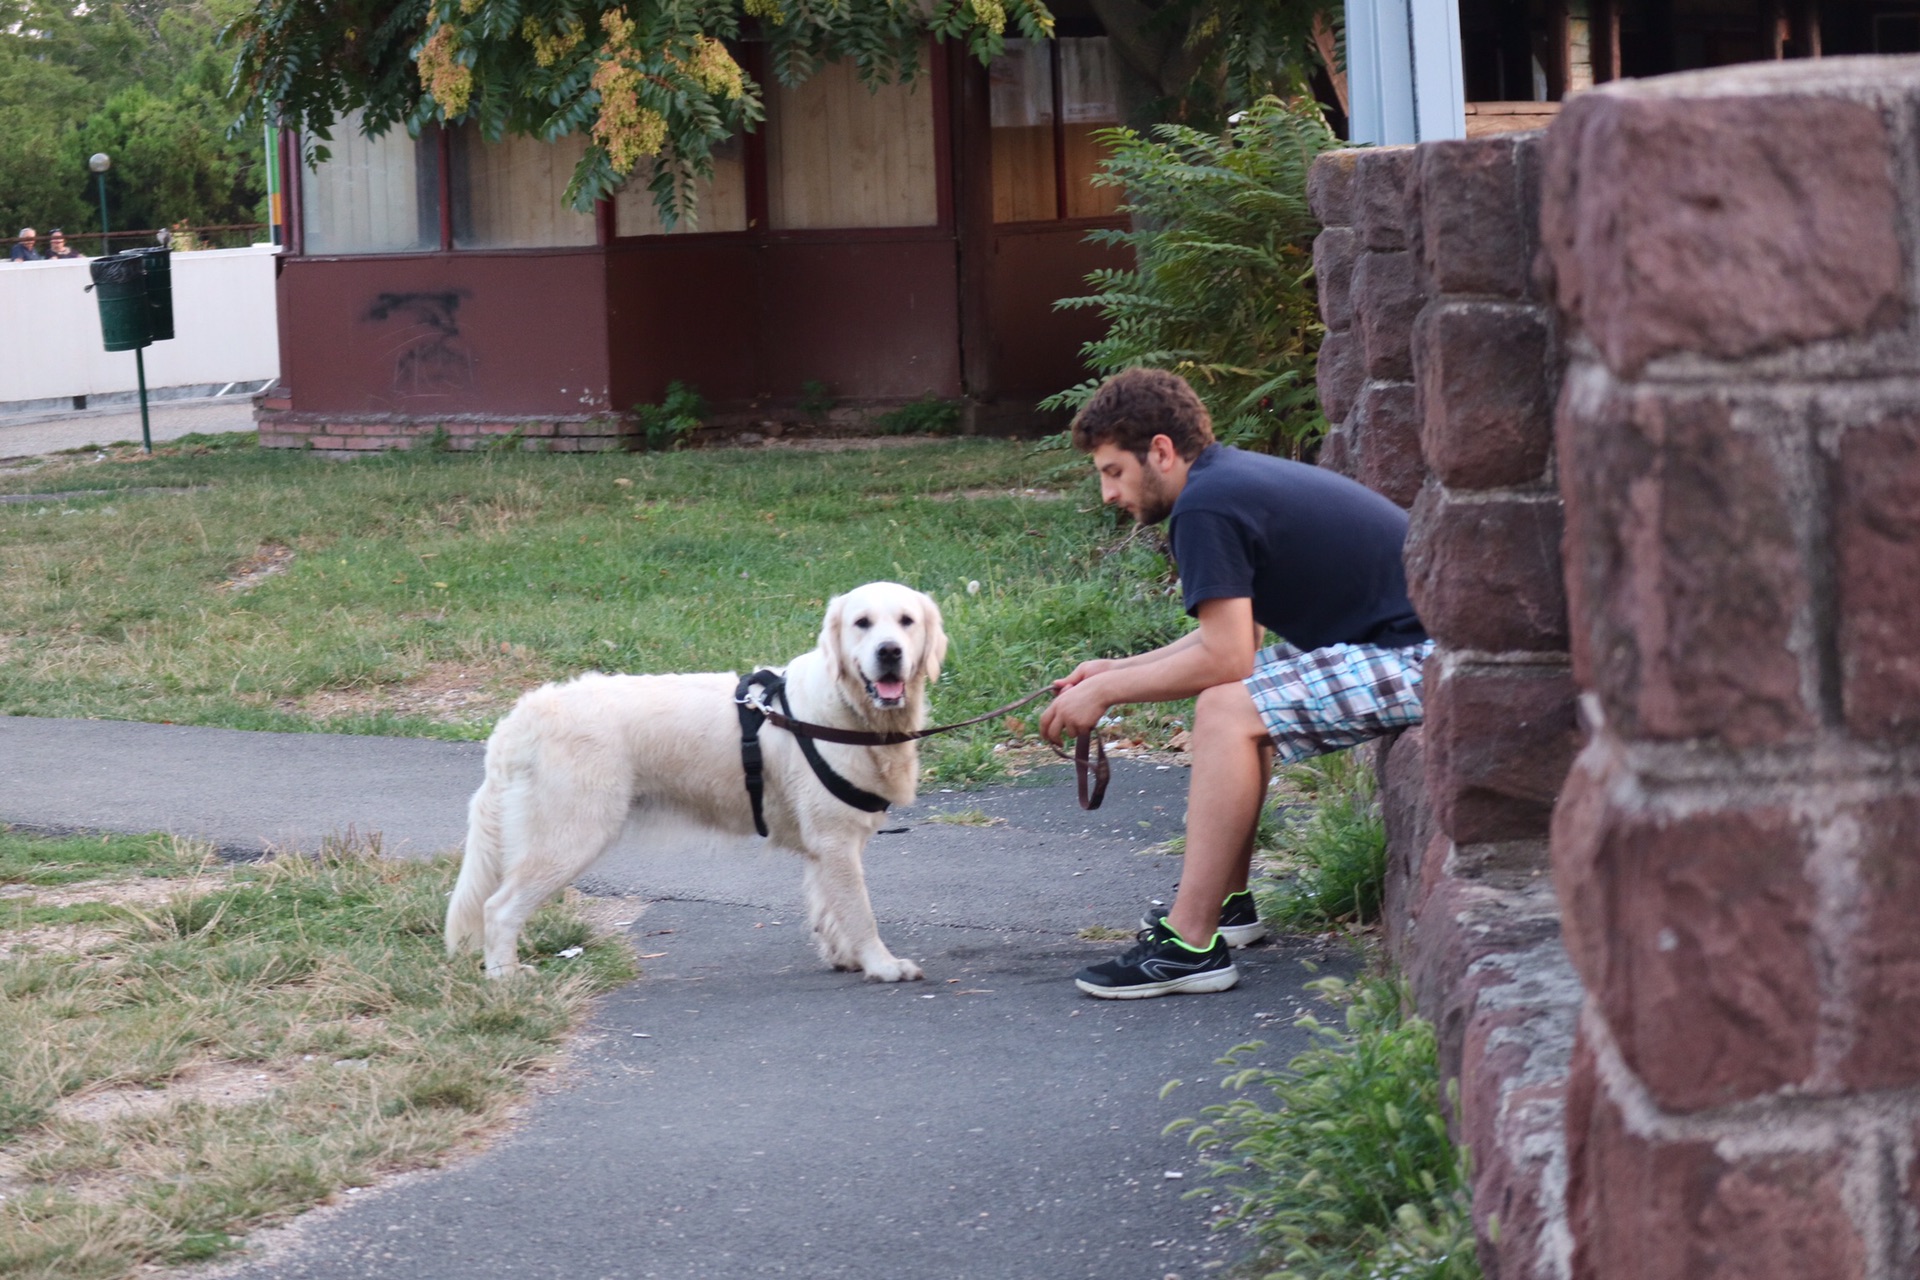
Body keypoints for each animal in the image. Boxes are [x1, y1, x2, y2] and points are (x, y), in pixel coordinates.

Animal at [437, 587, 944, 990]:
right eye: (862, 623)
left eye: (906, 621)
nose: (889, 652)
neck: (843, 712)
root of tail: (519, 718)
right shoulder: (836, 840)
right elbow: (860, 912)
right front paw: (882, 965)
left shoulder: (825, 845)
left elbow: (829, 909)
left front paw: (846, 958)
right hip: (568, 837)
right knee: (498, 908)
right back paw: (504, 977)